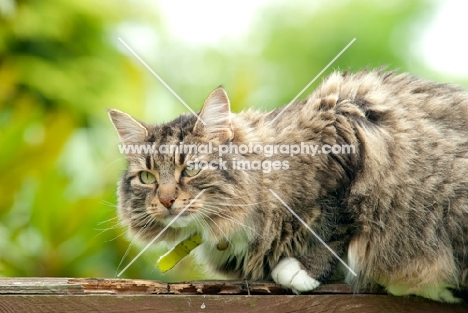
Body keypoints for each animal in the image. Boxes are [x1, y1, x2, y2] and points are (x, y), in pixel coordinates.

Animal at [109, 69, 468, 302]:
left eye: (191, 169)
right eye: (147, 177)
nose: (167, 200)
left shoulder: (344, 132)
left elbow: (335, 224)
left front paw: (302, 269)